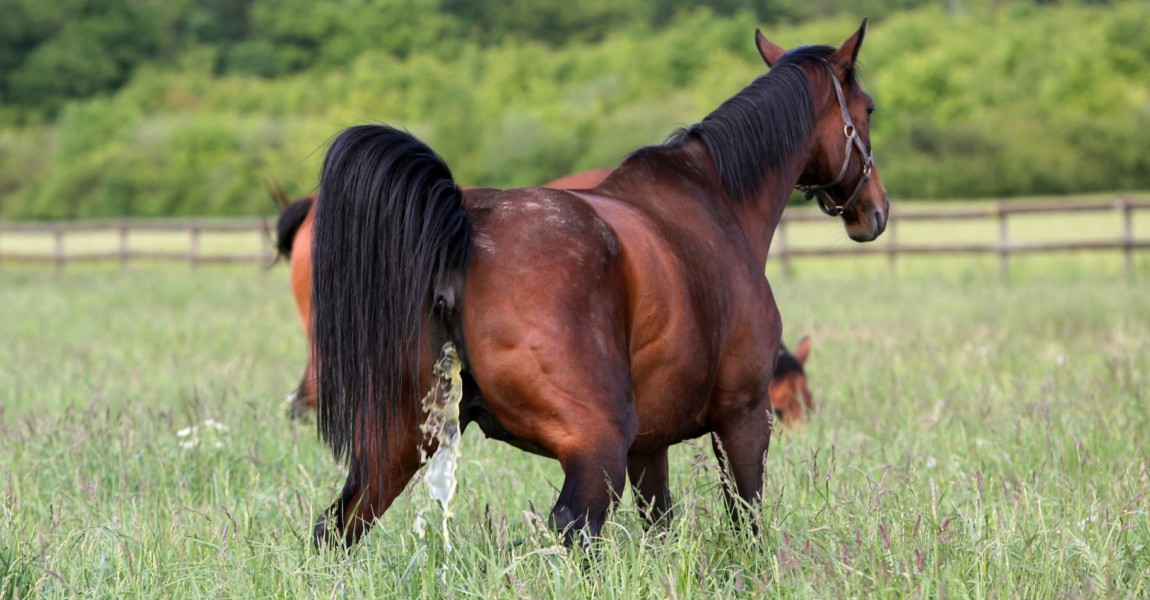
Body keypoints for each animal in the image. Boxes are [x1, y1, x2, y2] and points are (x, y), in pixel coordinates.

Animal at [308, 22, 887, 547]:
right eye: (868, 109)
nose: (876, 211)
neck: (716, 196)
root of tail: (465, 231)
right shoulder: (744, 416)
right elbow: (747, 522)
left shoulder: (650, 445)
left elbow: (660, 526)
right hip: (597, 445)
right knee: (574, 528)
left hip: (398, 443)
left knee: (337, 526)